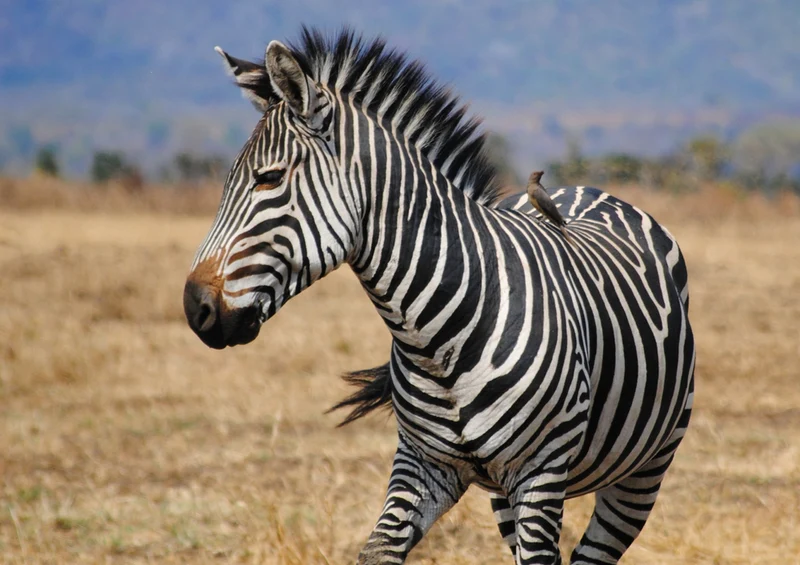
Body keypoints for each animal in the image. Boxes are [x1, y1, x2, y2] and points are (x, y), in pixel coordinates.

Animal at [183, 27, 695, 565]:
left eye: (269, 178)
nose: (195, 308)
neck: (437, 338)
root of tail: (583, 190)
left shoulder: (541, 469)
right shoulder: (423, 464)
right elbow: (379, 548)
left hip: (645, 468)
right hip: (503, 496)